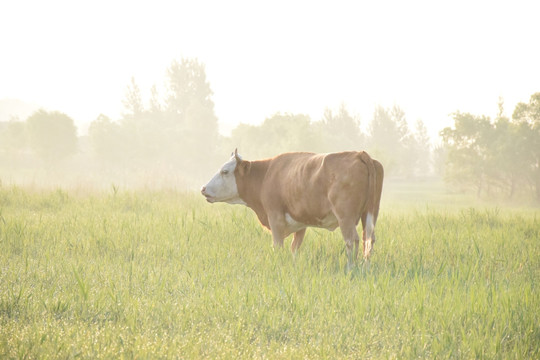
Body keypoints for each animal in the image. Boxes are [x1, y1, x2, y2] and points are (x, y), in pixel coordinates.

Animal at [200, 150, 382, 268]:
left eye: (225, 171)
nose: (203, 188)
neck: (265, 175)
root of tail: (358, 153)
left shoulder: (275, 217)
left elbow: (278, 246)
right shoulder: (301, 223)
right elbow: (295, 247)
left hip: (346, 218)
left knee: (352, 240)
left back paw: (351, 267)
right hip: (370, 214)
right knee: (369, 240)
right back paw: (365, 266)